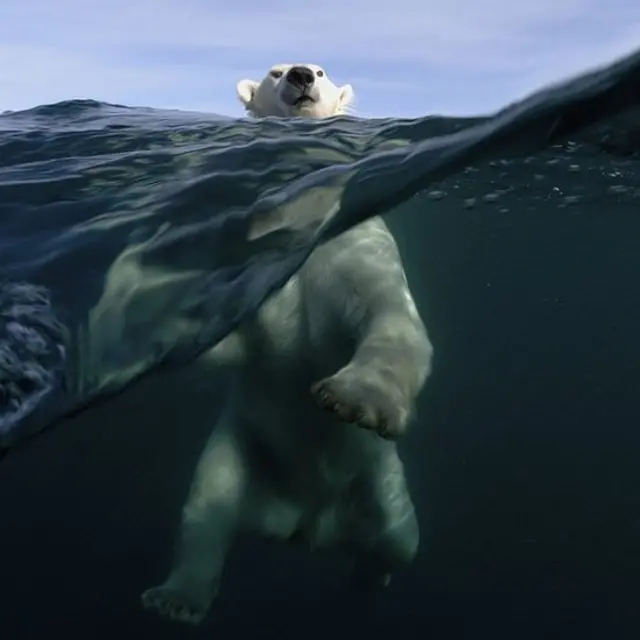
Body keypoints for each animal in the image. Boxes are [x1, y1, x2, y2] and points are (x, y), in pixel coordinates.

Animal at [138, 67, 432, 624]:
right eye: (274, 72)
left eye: (321, 72)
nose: (299, 75)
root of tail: (305, 524)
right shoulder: (253, 260)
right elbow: (233, 340)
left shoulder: (352, 244)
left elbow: (387, 313)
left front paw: (355, 398)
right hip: (240, 450)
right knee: (207, 510)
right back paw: (176, 598)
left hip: (377, 482)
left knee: (397, 537)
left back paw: (368, 575)